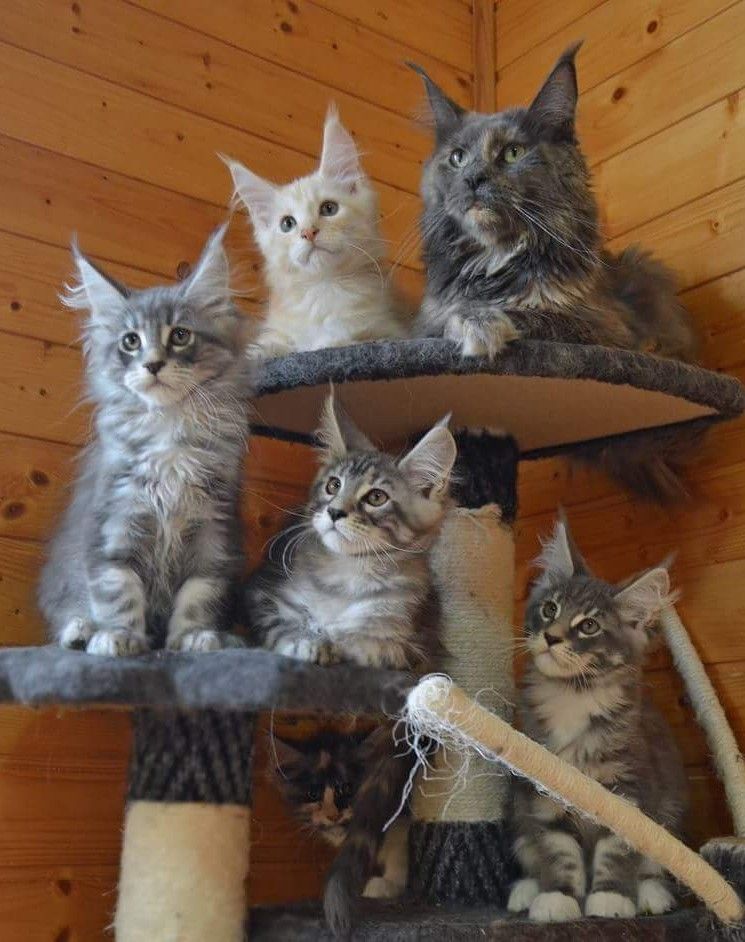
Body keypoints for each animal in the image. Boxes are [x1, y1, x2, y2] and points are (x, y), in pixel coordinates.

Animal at [39, 225, 251, 657]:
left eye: (181, 336)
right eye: (131, 341)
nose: (153, 364)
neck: (168, 433)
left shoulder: (213, 530)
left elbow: (199, 593)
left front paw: (192, 637)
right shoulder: (115, 522)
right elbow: (118, 590)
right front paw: (118, 636)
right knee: (69, 610)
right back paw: (80, 631)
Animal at [223, 106, 406, 356]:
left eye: (329, 208)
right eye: (287, 224)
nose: (309, 232)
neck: (323, 289)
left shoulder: (390, 332)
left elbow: (345, 338)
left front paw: (325, 342)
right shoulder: (277, 329)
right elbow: (271, 343)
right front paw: (258, 352)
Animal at [244, 391, 455, 671]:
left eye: (376, 497)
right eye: (334, 485)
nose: (334, 511)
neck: (347, 573)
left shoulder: (418, 645)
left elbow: (373, 644)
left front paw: (338, 639)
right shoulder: (261, 595)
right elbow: (281, 628)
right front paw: (309, 641)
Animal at [508, 514, 688, 923]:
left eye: (588, 626)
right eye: (550, 609)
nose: (551, 637)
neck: (573, 695)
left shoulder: (631, 790)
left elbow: (617, 851)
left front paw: (611, 899)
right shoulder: (544, 793)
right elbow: (558, 851)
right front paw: (558, 897)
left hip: (670, 811)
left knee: (653, 867)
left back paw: (651, 895)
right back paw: (527, 889)